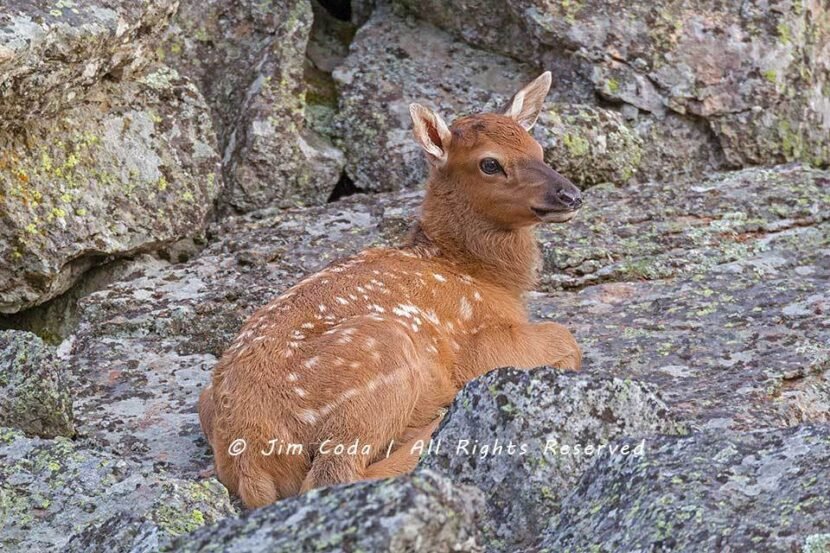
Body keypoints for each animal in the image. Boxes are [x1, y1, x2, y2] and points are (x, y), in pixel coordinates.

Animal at [198, 71, 584, 509]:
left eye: (538, 148)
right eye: (490, 163)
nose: (571, 195)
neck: (479, 274)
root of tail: (249, 455)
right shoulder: (481, 344)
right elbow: (566, 338)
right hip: (383, 353)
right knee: (333, 475)